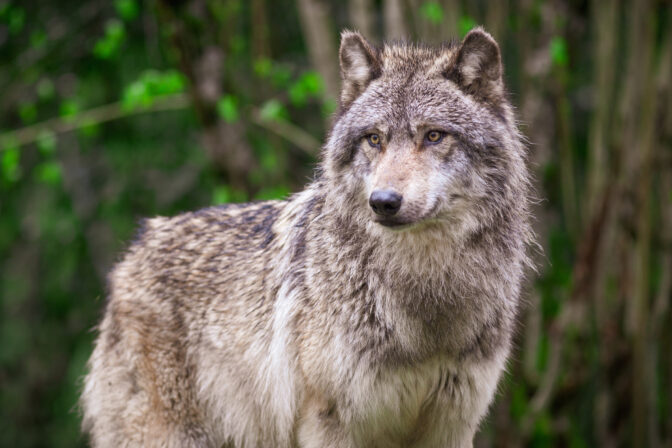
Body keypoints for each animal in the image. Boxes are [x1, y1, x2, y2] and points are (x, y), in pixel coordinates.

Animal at [80, 28, 533, 448]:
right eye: (374, 139)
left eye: (434, 136)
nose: (383, 202)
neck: (426, 304)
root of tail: (136, 247)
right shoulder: (330, 421)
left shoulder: (452, 426)